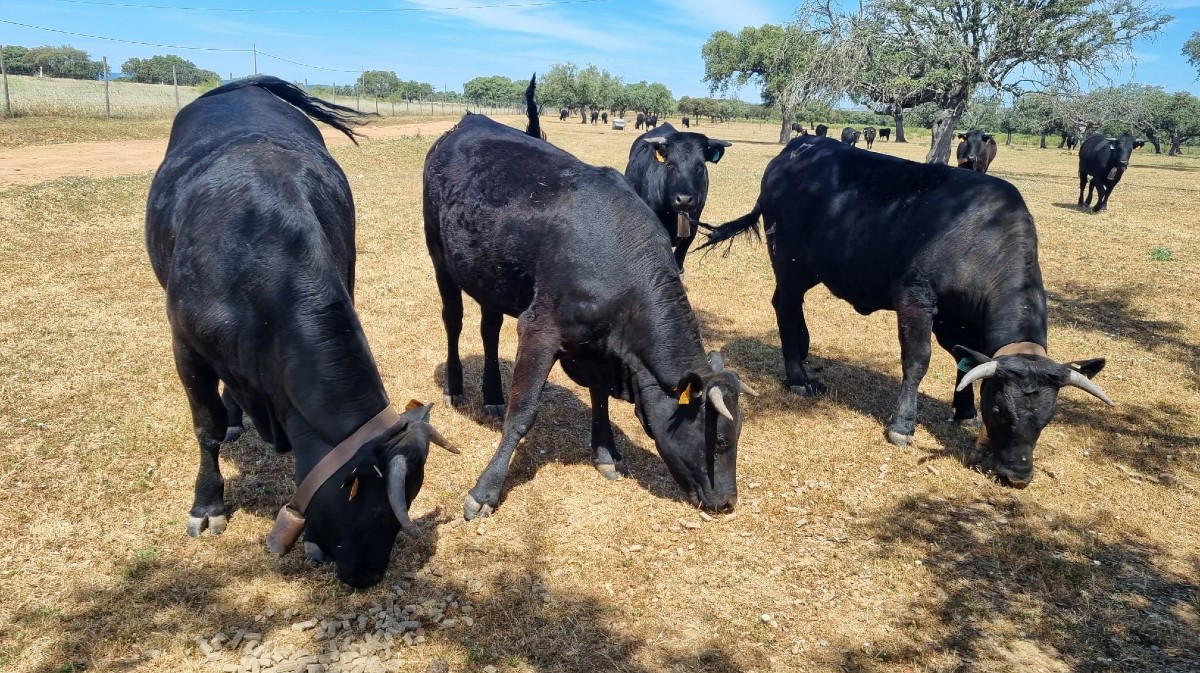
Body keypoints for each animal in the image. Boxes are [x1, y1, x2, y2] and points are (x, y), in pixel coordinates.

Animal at [699, 135, 1113, 488]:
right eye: (999, 411)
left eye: (1048, 417)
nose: (1017, 474)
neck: (983, 239)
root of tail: (797, 148)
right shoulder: (916, 301)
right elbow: (918, 361)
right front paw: (903, 424)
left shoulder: (958, 321)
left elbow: (965, 363)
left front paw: (964, 411)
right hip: (789, 261)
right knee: (785, 305)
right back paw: (798, 376)